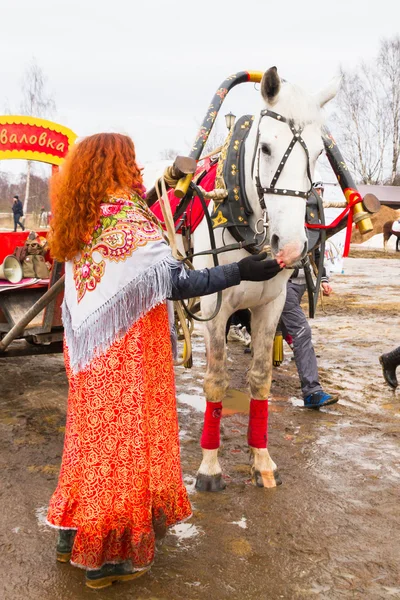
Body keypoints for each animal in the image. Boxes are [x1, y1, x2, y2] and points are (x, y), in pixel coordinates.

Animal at [188, 68, 340, 490]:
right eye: (267, 148)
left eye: (318, 154)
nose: (289, 245)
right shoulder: (214, 308)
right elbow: (215, 380)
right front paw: (210, 466)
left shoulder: (271, 307)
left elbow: (260, 379)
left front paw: (262, 459)